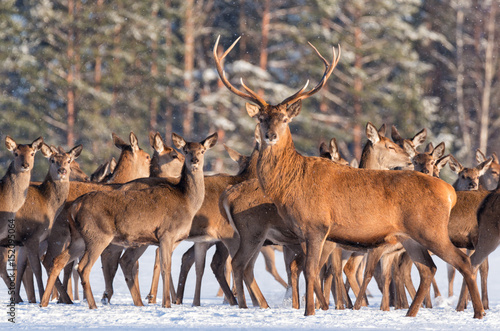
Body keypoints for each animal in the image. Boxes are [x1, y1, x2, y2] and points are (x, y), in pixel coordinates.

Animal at [8, 144, 82, 304]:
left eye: (69, 160)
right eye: (52, 160)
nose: (62, 170)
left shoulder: (24, 242)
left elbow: (21, 266)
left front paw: (17, 299)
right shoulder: (31, 237)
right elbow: (36, 267)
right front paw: (41, 297)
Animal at [40, 132, 217, 308]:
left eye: (202, 151)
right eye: (184, 151)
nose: (194, 161)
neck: (186, 200)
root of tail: (74, 207)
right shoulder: (166, 234)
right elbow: (165, 267)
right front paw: (166, 304)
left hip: (78, 238)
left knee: (58, 261)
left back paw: (45, 302)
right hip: (97, 235)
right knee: (82, 267)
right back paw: (91, 304)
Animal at [212, 35, 484, 320]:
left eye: (285, 119)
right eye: (262, 118)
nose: (270, 135)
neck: (290, 184)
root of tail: (449, 192)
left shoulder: (317, 226)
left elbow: (312, 271)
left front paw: (309, 313)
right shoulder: (304, 233)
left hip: (430, 230)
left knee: (462, 261)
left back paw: (477, 313)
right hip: (410, 236)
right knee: (428, 268)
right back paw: (410, 314)